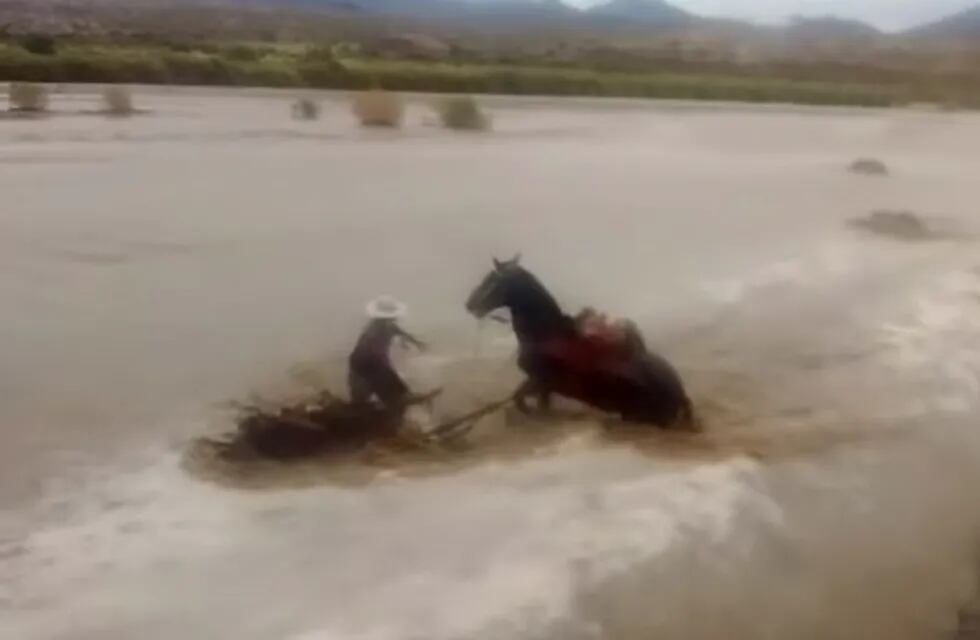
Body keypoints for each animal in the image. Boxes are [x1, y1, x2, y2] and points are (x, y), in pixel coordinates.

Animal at [468, 256, 692, 430]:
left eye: (492, 280)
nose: (469, 304)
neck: (546, 334)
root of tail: (681, 394)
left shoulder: (540, 381)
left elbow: (521, 400)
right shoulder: (541, 385)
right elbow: (527, 401)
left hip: (640, 414)